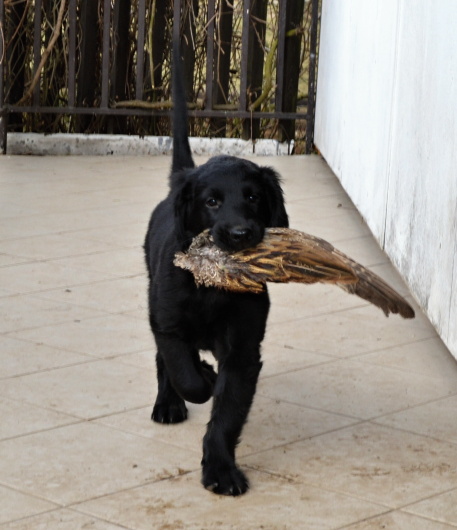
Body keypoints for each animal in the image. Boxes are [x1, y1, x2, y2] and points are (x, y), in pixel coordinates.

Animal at [144, 42, 288, 496]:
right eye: (211, 202)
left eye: (254, 197)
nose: (241, 233)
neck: (213, 287)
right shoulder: (169, 322)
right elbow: (184, 373)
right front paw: (202, 380)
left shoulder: (243, 350)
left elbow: (226, 415)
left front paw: (221, 469)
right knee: (165, 363)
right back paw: (168, 403)